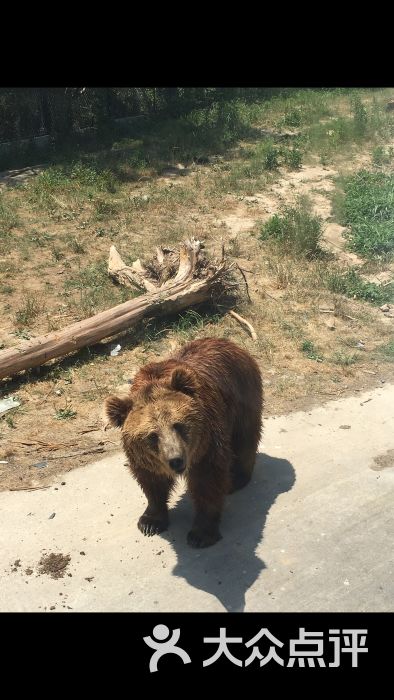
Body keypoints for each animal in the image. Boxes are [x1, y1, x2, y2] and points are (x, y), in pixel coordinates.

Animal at [106, 338, 264, 548]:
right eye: (152, 436)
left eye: (178, 425)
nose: (176, 460)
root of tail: (229, 343)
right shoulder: (145, 459)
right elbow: (151, 481)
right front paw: (150, 522)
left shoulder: (207, 444)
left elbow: (208, 481)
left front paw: (201, 533)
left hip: (242, 396)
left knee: (245, 438)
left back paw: (237, 478)